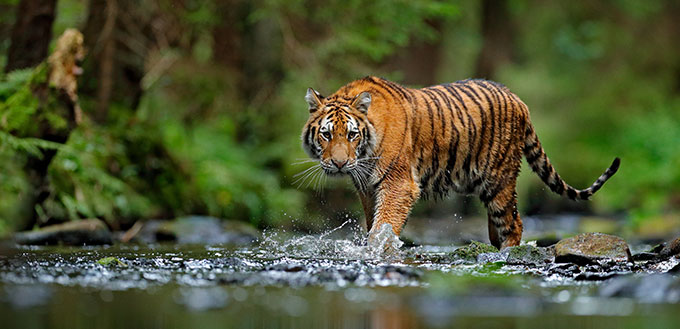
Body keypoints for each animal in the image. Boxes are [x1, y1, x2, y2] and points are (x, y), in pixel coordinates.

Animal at [300, 75, 620, 247]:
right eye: (326, 135)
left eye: (352, 135)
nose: (339, 164)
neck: (364, 155)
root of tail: (518, 99)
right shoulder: (367, 187)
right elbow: (373, 223)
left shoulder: (398, 184)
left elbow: (384, 225)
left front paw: (377, 249)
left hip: (499, 180)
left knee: (514, 223)